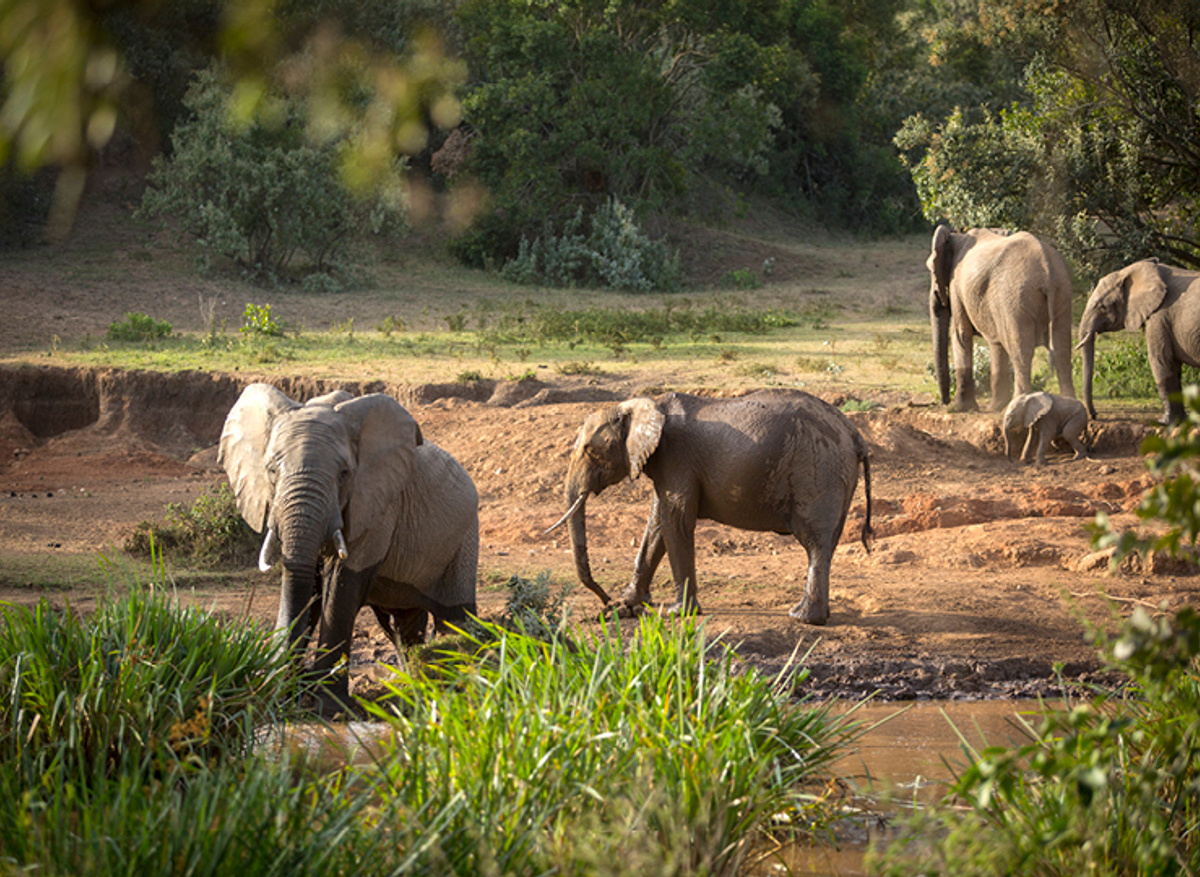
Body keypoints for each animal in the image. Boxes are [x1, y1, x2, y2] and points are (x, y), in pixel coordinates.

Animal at [219, 383, 478, 707]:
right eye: (272, 471)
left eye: (344, 474)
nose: (282, 687)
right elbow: (309, 586)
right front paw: (286, 694)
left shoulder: (377, 505)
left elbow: (340, 587)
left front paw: (327, 706)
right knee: (401, 626)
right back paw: (412, 684)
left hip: (464, 536)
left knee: (455, 617)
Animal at [548, 389, 873, 625]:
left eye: (591, 451)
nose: (606, 602)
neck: (643, 405)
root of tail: (854, 433)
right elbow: (657, 525)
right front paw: (630, 604)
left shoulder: (677, 458)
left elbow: (675, 521)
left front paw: (677, 613)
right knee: (825, 543)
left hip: (819, 469)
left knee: (815, 542)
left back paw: (803, 618)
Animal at [927, 225, 1076, 412]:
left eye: (931, 271)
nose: (944, 402)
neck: (956, 235)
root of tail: (1047, 270)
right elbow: (996, 342)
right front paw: (993, 408)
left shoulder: (957, 286)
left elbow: (961, 334)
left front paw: (961, 408)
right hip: (1062, 293)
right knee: (1061, 350)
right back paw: (1071, 405)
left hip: (1015, 298)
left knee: (1021, 350)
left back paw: (1016, 406)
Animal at [1077, 259, 1200, 424]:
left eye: (1101, 306)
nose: (1095, 416)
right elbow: (1174, 367)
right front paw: (1180, 421)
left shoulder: (1159, 317)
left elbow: (1161, 361)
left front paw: (1164, 422)